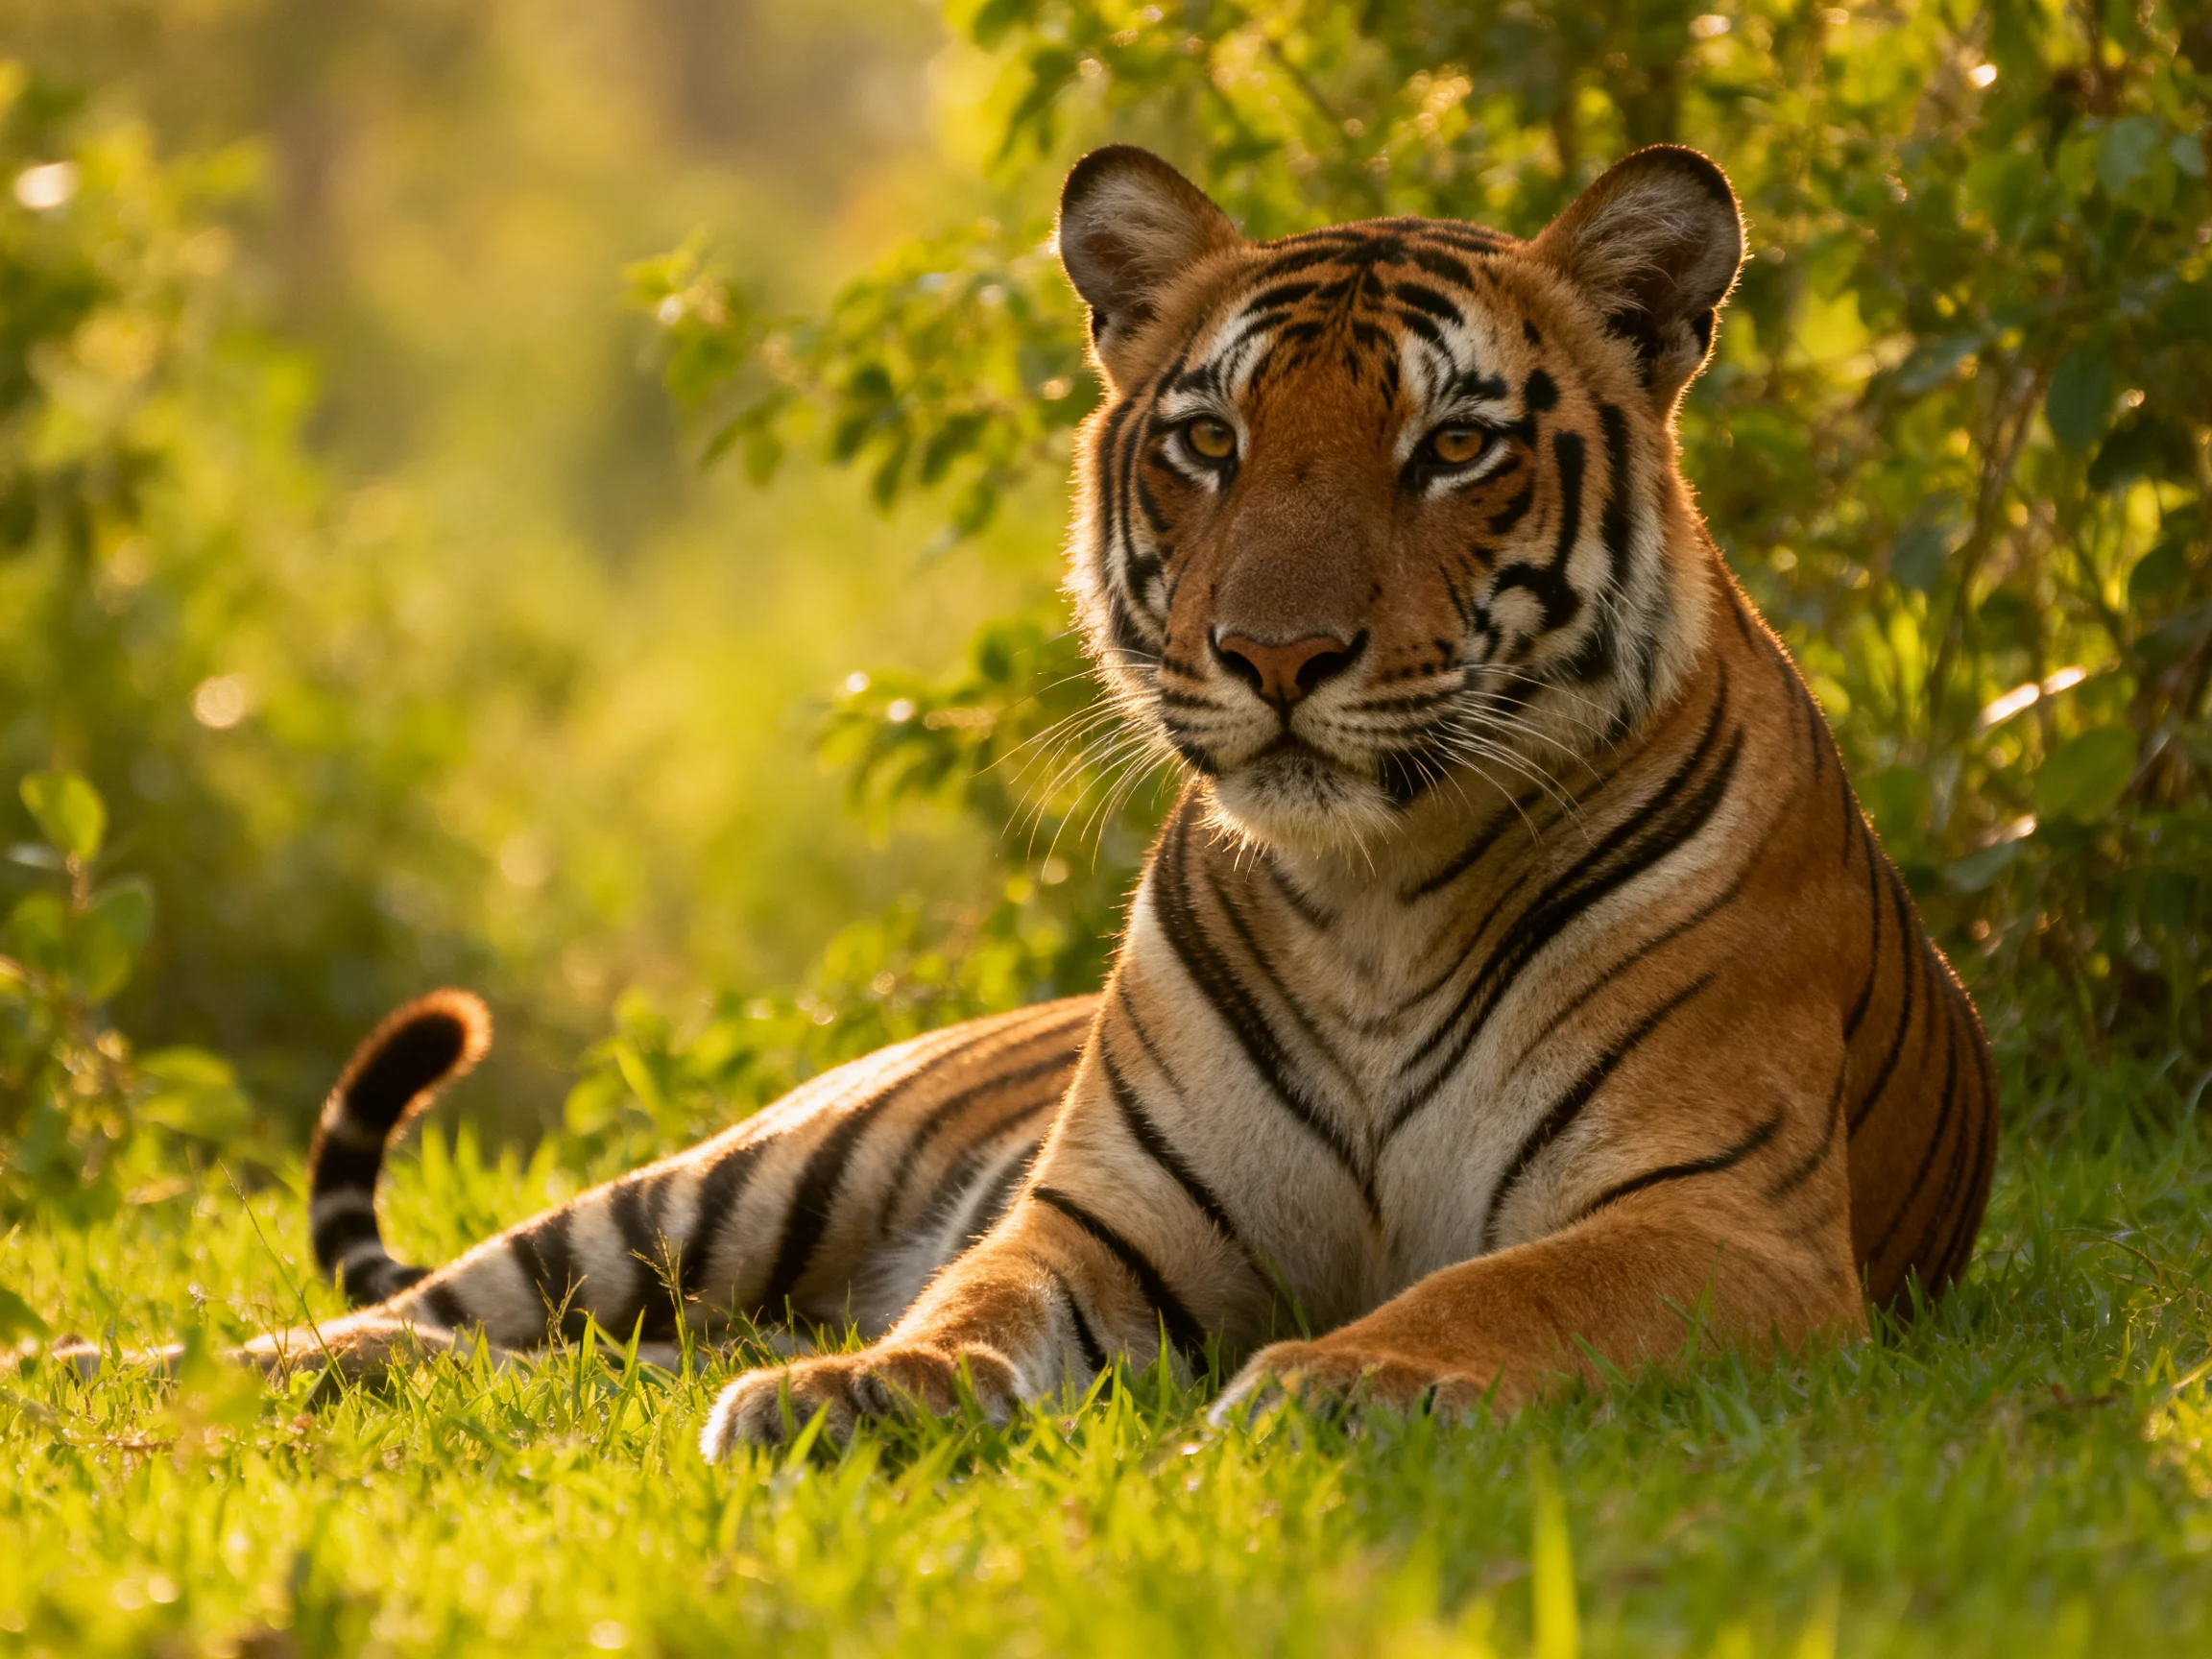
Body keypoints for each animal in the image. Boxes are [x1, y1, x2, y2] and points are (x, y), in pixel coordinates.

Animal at [66, 143, 1996, 1459]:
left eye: (1454, 446)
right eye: (1209, 441)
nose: (1274, 652)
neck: (1371, 890)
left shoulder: (1715, 1215)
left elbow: (1511, 1284)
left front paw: (1347, 1375)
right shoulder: (1108, 1215)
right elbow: (982, 1292)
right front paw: (869, 1387)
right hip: (711, 1193)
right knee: (389, 1320)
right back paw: (103, 1367)